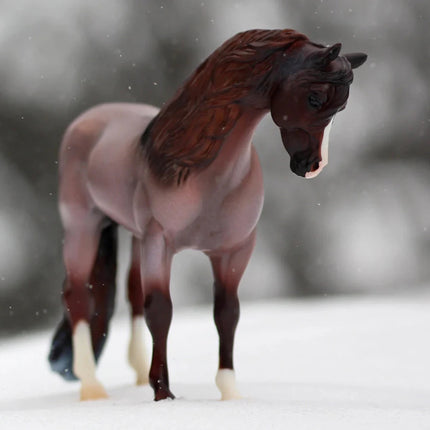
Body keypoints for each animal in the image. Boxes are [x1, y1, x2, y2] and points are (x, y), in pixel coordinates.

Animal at [49, 28, 366, 402]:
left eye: (341, 108)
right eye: (315, 98)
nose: (313, 166)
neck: (201, 170)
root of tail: (88, 120)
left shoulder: (234, 251)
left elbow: (227, 313)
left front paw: (230, 393)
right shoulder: (160, 244)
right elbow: (161, 310)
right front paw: (163, 394)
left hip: (136, 237)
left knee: (131, 294)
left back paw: (137, 376)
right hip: (83, 228)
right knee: (78, 296)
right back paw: (92, 387)